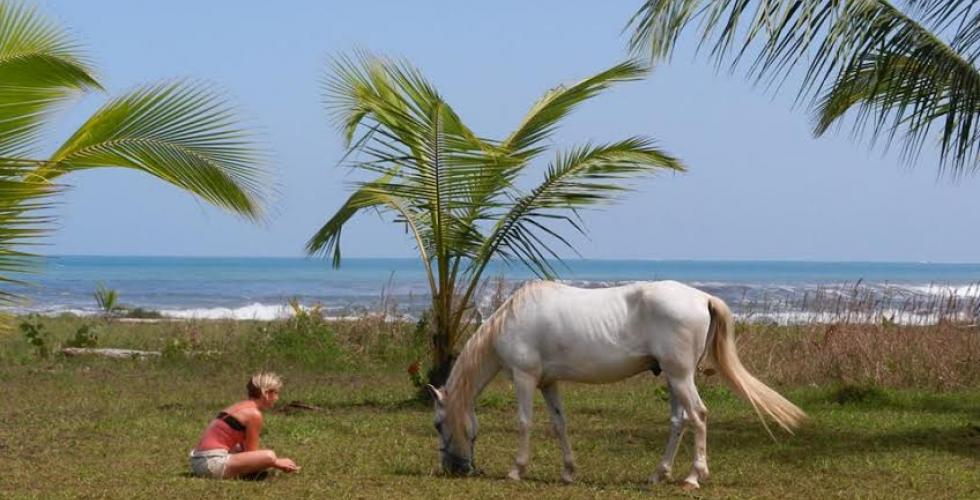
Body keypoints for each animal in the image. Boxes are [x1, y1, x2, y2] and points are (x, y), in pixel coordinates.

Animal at [426, 280, 804, 490]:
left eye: (438, 424)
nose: (454, 469)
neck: (512, 319)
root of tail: (702, 299)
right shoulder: (549, 383)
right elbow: (559, 424)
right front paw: (568, 472)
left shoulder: (525, 377)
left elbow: (524, 422)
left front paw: (516, 470)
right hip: (674, 378)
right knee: (678, 421)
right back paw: (658, 475)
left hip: (681, 375)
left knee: (698, 416)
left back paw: (693, 477)